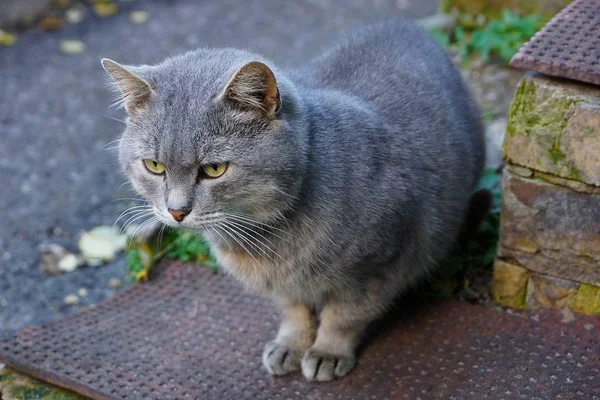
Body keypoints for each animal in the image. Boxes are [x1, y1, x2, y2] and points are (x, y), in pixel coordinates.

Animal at [102, 18, 488, 382]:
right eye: (154, 166)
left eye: (214, 169)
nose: (176, 211)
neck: (264, 242)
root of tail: (405, 24)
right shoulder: (282, 285)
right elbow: (293, 311)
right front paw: (292, 344)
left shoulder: (379, 266)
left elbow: (344, 316)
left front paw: (328, 351)